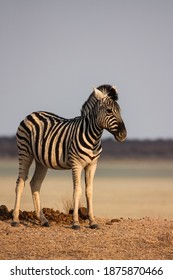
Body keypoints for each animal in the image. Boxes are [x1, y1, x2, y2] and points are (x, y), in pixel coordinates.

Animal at [11, 84, 126, 229]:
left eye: (120, 111)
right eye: (109, 110)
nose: (123, 134)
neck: (93, 137)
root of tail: (32, 113)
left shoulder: (92, 165)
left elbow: (89, 191)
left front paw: (92, 221)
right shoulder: (76, 164)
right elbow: (77, 191)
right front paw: (75, 222)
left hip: (41, 160)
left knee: (35, 184)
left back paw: (43, 220)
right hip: (24, 152)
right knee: (20, 183)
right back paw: (15, 219)